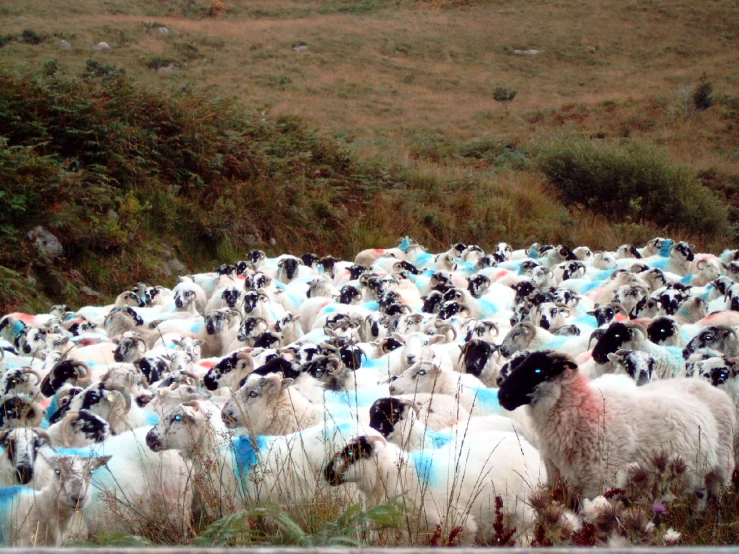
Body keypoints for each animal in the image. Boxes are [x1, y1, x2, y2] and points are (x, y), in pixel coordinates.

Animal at [498, 352, 736, 502]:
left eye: (537, 370)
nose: (502, 396)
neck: (583, 407)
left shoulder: (602, 479)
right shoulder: (557, 475)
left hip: (722, 465)